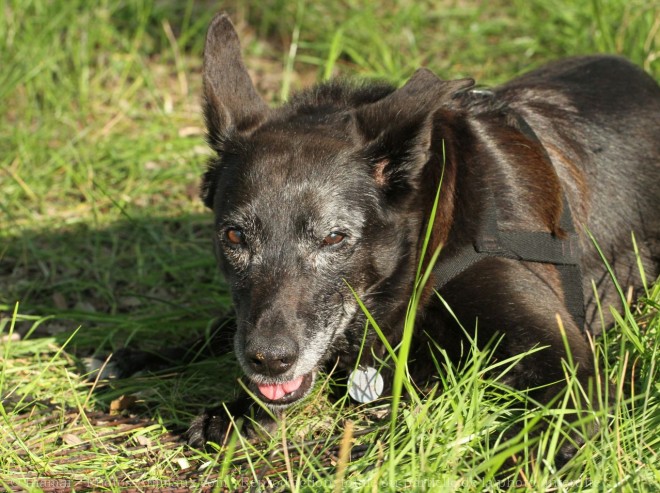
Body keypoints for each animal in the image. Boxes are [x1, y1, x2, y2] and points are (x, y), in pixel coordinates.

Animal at [186, 13, 660, 446]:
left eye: (334, 238)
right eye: (234, 237)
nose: (268, 360)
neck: (429, 247)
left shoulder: (572, 366)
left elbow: (536, 438)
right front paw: (238, 409)